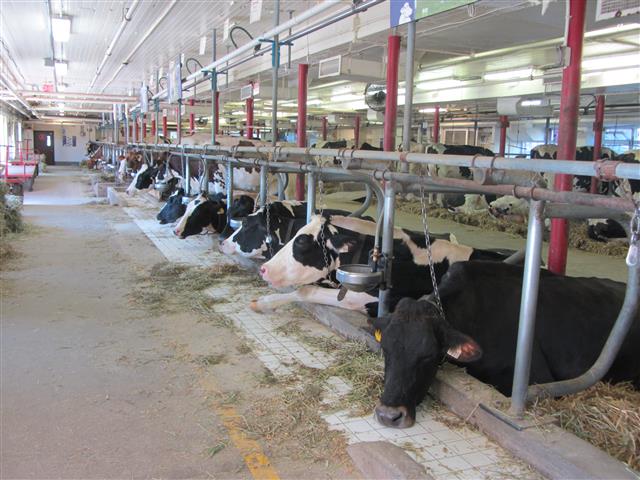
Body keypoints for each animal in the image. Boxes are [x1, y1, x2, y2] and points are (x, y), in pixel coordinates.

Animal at [250, 215, 510, 315]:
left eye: (302, 242)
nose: (264, 268)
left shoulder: (372, 299)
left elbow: (306, 290)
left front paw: (264, 302)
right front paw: (263, 301)